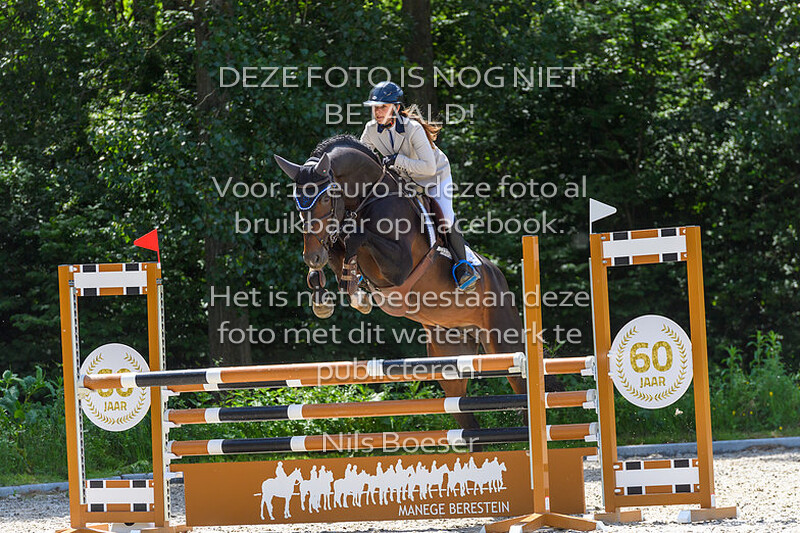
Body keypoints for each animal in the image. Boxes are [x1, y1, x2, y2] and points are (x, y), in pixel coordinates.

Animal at [274, 134, 527, 432]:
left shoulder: (399, 267)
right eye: (297, 202)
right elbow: (337, 252)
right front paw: (327, 295)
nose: (312, 256)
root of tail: (498, 276)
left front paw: (353, 290)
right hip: (450, 358)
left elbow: (356, 236)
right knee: (464, 414)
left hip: (505, 343)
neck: (368, 197)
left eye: (325, 198)